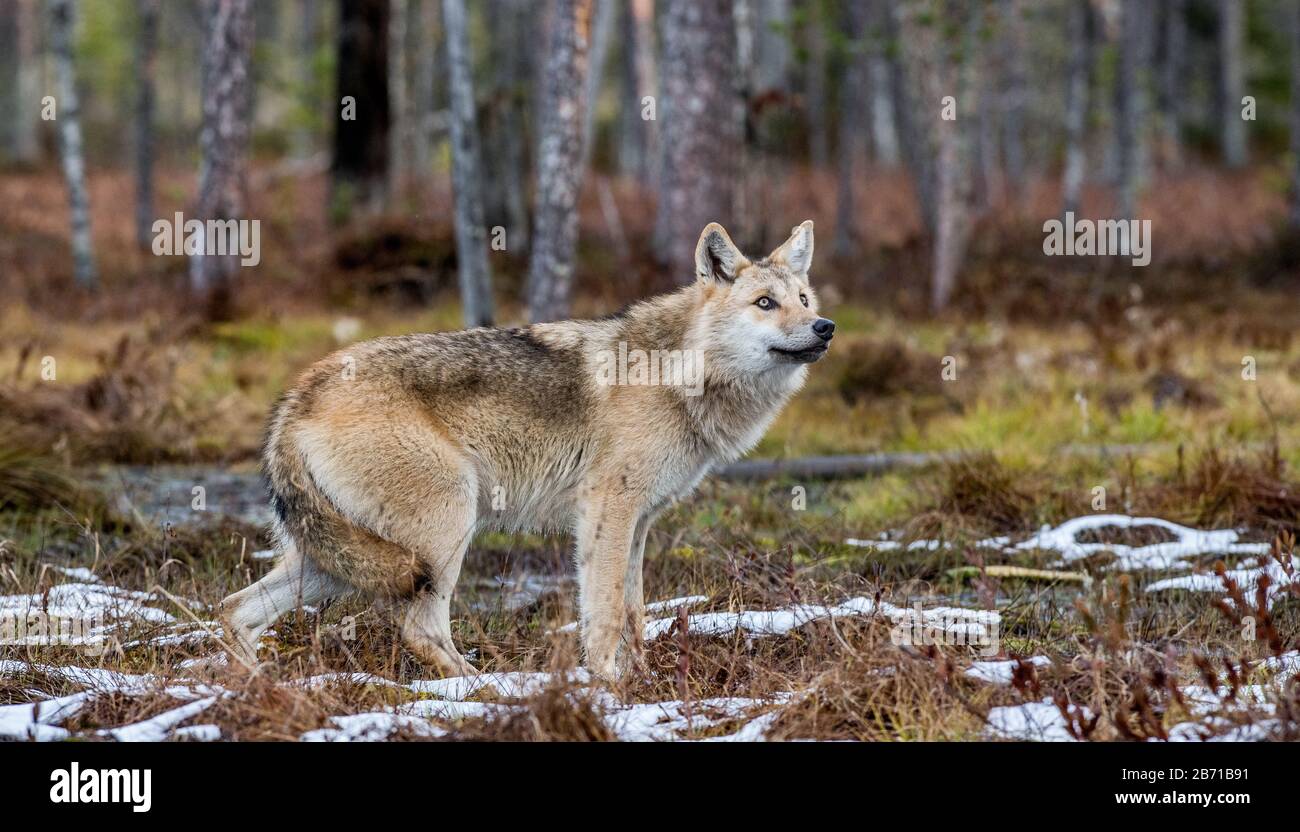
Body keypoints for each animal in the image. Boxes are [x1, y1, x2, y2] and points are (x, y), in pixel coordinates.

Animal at [219, 220, 835, 680]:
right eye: (765, 303)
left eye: (803, 299)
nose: (824, 327)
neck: (680, 374)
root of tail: (297, 396)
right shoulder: (605, 511)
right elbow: (605, 614)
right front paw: (610, 687)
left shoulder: (639, 523)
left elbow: (633, 612)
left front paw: (645, 684)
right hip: (443, 534)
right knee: (419, 629)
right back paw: (485, 690)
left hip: (347, 562)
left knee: (234, 610)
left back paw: (255, 690)